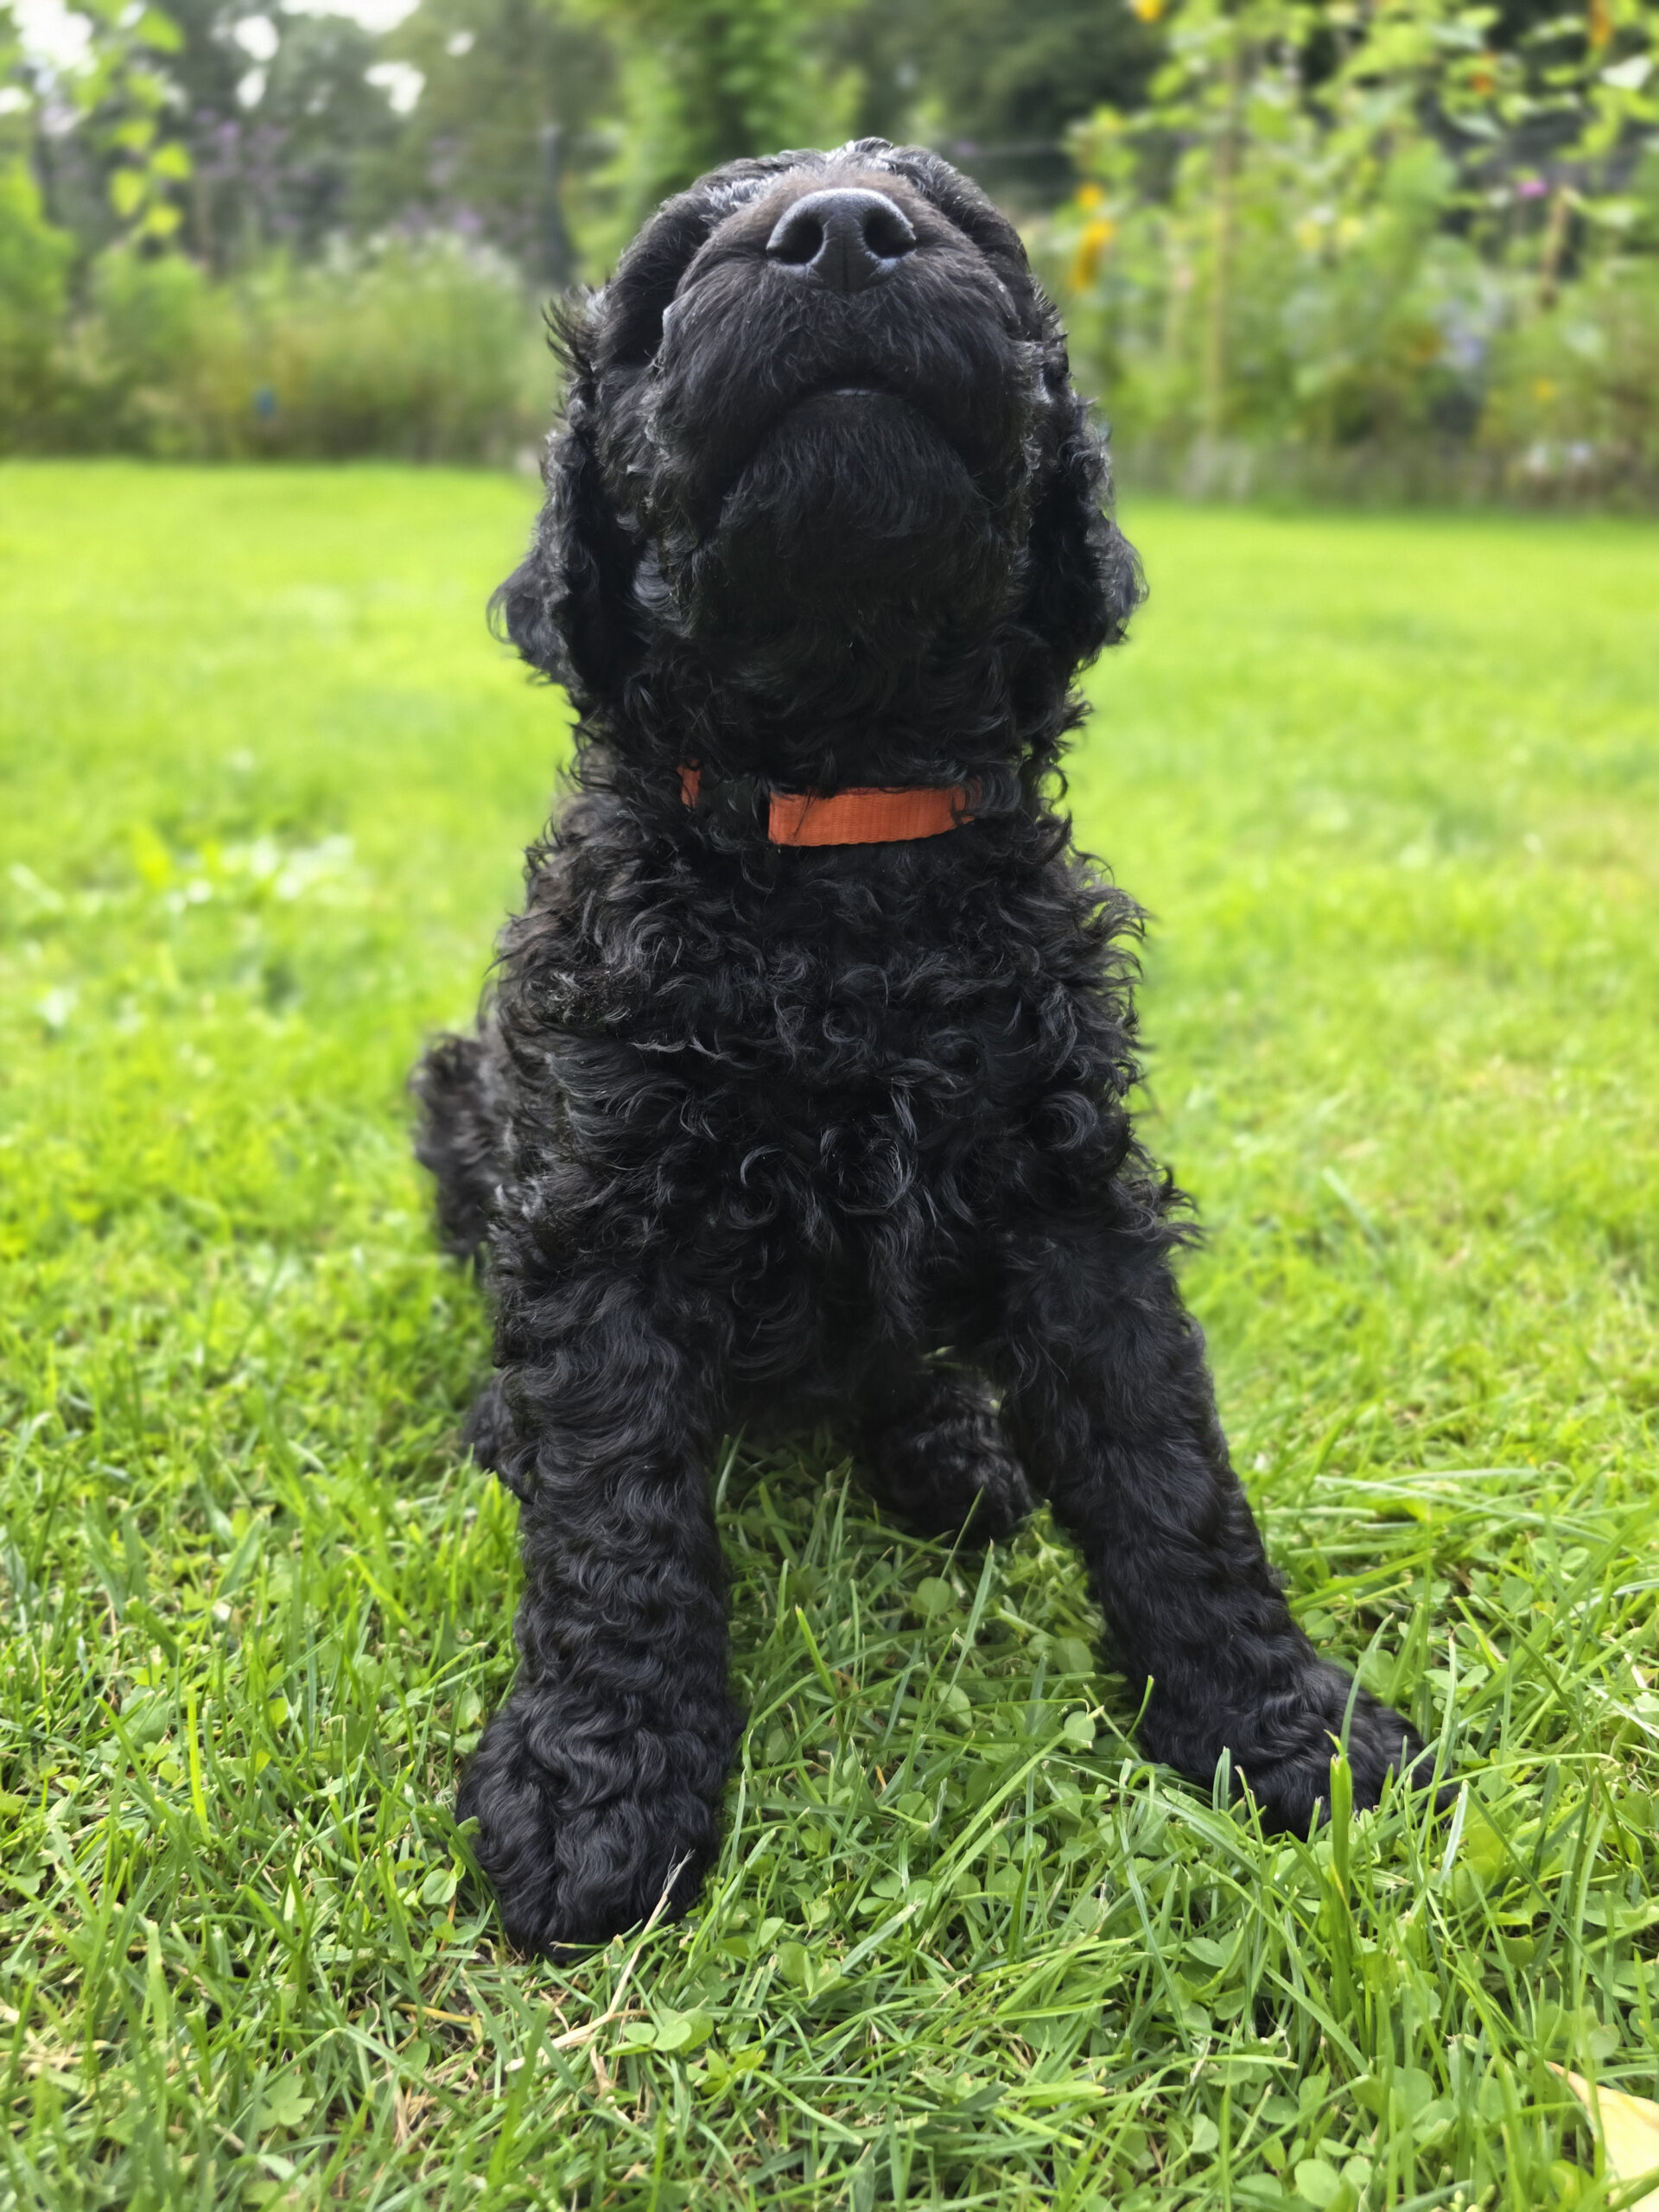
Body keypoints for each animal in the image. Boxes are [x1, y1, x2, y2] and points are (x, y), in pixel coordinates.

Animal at [413, 139, 1434, 1956]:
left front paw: (1274, 1720)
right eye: (668, 279)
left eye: (960, 226)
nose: (836, 236)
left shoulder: (1073, 1185)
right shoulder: (597, 1196)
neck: (840, 845)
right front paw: (596, 1790)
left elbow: (1169, 1463)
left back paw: (953, 1449)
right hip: (460, 1091)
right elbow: (612, 1519)